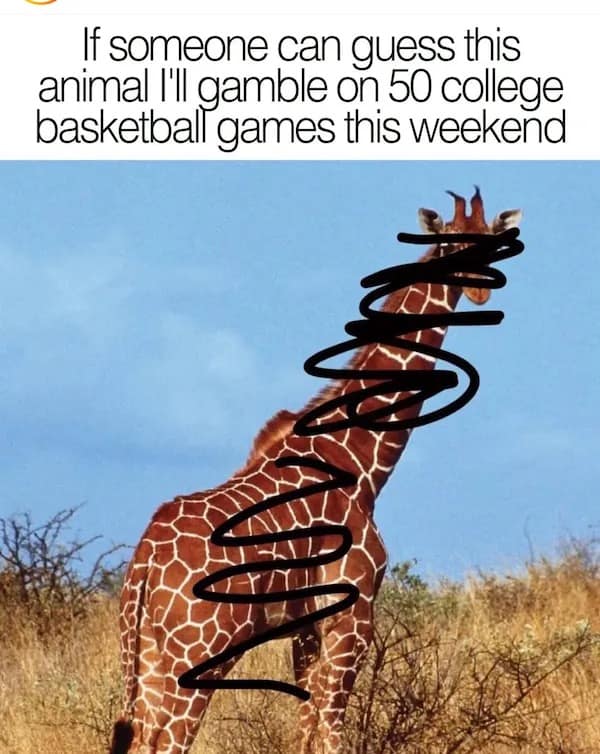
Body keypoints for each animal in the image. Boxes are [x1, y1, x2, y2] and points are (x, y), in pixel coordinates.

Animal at [110, 188, 522, 754]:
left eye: (491, 244)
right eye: (449, 244)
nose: (480, 292)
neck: (362, 464)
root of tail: (145, 563)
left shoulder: (307, 628)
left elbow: (304, 731)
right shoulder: (354, 613)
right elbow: (331, 732)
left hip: (147, 655)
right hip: (198, 653)